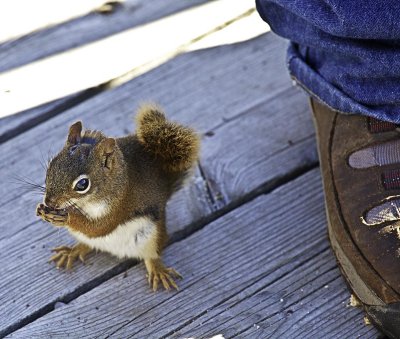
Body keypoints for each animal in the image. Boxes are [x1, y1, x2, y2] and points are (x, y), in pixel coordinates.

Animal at [36, 104, 200, 292]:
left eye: (83, 184)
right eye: (51, 165)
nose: (49, 202)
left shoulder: (119, 206)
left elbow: (98, 227)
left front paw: (65, 217)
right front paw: (44, 211)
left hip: (151, 237)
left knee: (151, 256)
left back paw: (158, 271)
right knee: (88, 244)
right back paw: (72, 251)